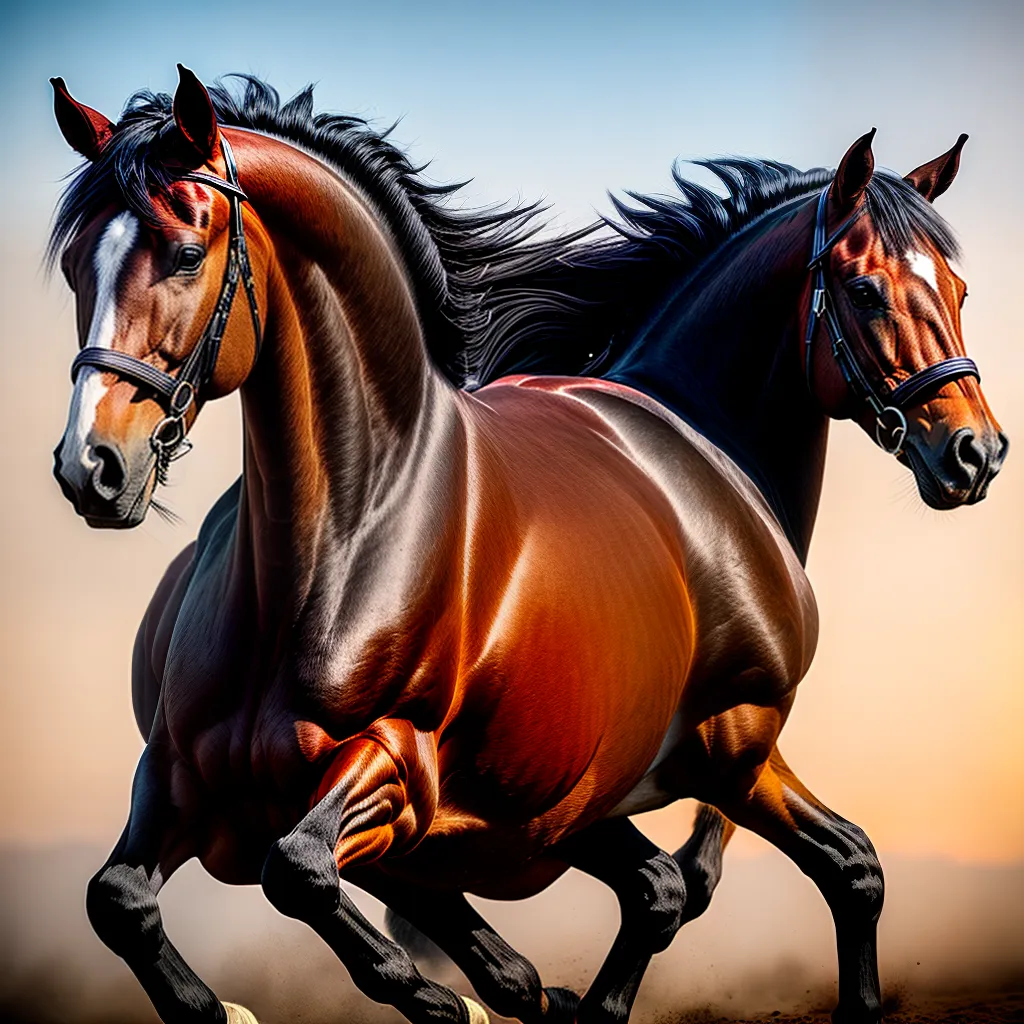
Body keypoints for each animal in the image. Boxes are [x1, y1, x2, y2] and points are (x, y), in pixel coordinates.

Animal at [48, 64, 1005, 1024]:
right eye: (74, 264)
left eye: (184, 252)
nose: (975, 450)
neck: (351, 532)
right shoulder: (181, 774)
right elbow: (122, 899)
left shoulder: (413, 765)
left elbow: (301, 873)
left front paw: (462, 1000)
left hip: (677, 765)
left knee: (750, 877)